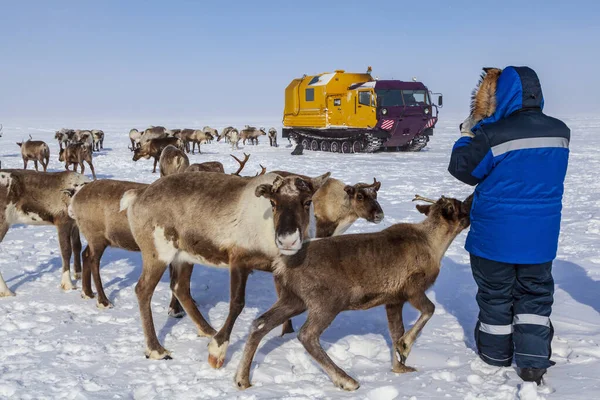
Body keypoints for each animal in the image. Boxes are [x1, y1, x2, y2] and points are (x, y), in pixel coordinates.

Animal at [234, 193, 474, 390]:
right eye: (458, 206)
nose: (471, 204)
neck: (435, 245)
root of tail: (281, 263)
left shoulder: (393, 300)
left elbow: (395, 331)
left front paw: (400, 367)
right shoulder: (412, 289)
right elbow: (429, 310)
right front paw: (405, 347)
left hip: (293, 299)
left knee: (260, 323)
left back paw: (242, 379)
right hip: (327, 302)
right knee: (306, 334)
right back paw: (346, 380)